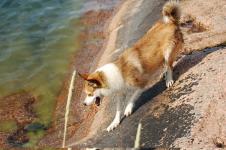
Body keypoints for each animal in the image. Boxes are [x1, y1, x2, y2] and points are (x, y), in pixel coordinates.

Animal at [79, 1, 184, 131]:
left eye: (89, 94)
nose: (83, 104)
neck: (118, 71)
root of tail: (170, 22)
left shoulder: (142, 83)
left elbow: (132, 97)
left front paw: (128, 108)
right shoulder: (120, 92)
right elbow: (118, 110)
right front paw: (114, 122)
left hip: (168, 52)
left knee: (169, 66)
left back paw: (168, 79)